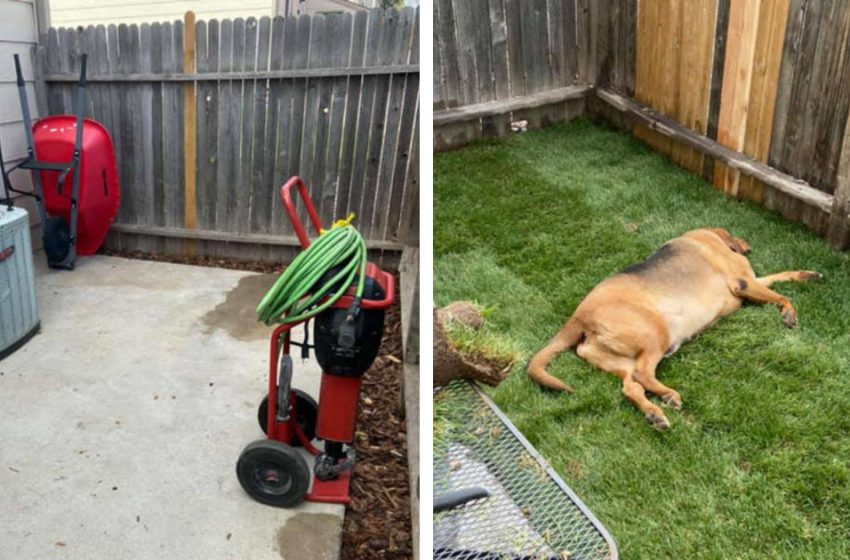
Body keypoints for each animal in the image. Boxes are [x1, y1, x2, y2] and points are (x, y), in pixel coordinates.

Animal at [528, 228, 820, 428]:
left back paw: (654, 413)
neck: (709, 236)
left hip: (617, 360)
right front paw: (789, 313)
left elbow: (781, 276)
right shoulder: (743, 282)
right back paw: (668, 395)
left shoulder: (753, 282)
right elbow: (781, 295)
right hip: (655, 332)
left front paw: (807, 275)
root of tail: (579, 317)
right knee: (643, 374)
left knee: (631, 386)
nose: (748, 244)